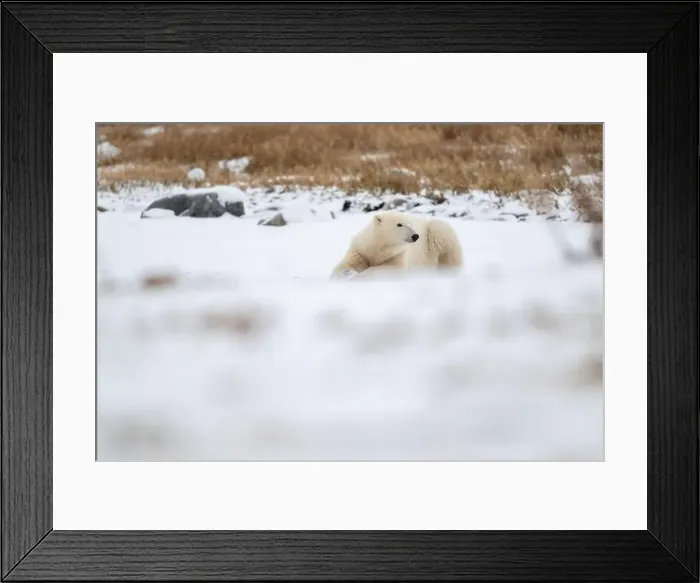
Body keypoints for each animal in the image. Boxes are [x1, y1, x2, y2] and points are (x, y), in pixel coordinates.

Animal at [330, 211, 463, 279]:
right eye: (399, 224)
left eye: (411, 224)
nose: (415, 236)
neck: (379, 246)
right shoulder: (361, 250)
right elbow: (346, 264)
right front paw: (347, 274)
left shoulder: (398, 254)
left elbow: (390, 268)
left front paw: (359, 277)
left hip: (436, 233)